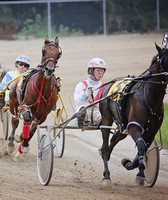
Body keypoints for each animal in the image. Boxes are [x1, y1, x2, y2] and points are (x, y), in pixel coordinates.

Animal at [99, 41, 168, 187]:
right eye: (164, 60)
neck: (150, 98)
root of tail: (107, 86)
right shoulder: (134, 126)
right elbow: (141, 146)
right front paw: (138, 170)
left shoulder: (151, 130)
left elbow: (143, 148)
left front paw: (133, 166)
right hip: (106, 119)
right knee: (104, 147)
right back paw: (106, 176)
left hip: (122, 128)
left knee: (113, 141)